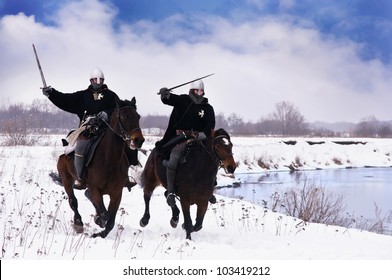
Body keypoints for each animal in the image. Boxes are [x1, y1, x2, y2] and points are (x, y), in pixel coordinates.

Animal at [56, 98, 144, 238]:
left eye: (138, 116)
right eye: (124, 116)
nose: (138, 140)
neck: (110, 160)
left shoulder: (117, 193)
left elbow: (110, 222)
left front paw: (99, 231)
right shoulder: (95, 189)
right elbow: (105, 214)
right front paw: (98, 220)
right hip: (66, 179)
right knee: (73, 201)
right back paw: (78, 224)